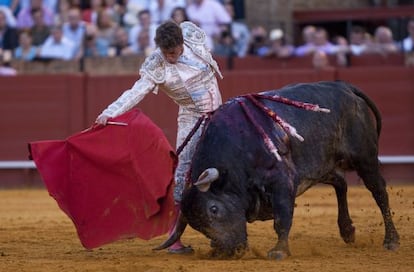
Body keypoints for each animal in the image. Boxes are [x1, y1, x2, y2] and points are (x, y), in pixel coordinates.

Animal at [154, 80, 400, 260]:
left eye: (214, 209)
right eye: (197, 226)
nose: (227, 251)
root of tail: (345, 87)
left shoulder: (281, 181)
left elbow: (282, 217)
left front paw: (279, 251)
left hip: (364, 157)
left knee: (379, 192)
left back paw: (391, 240)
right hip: (321, 163)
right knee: (341, 183)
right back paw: (347, 231)